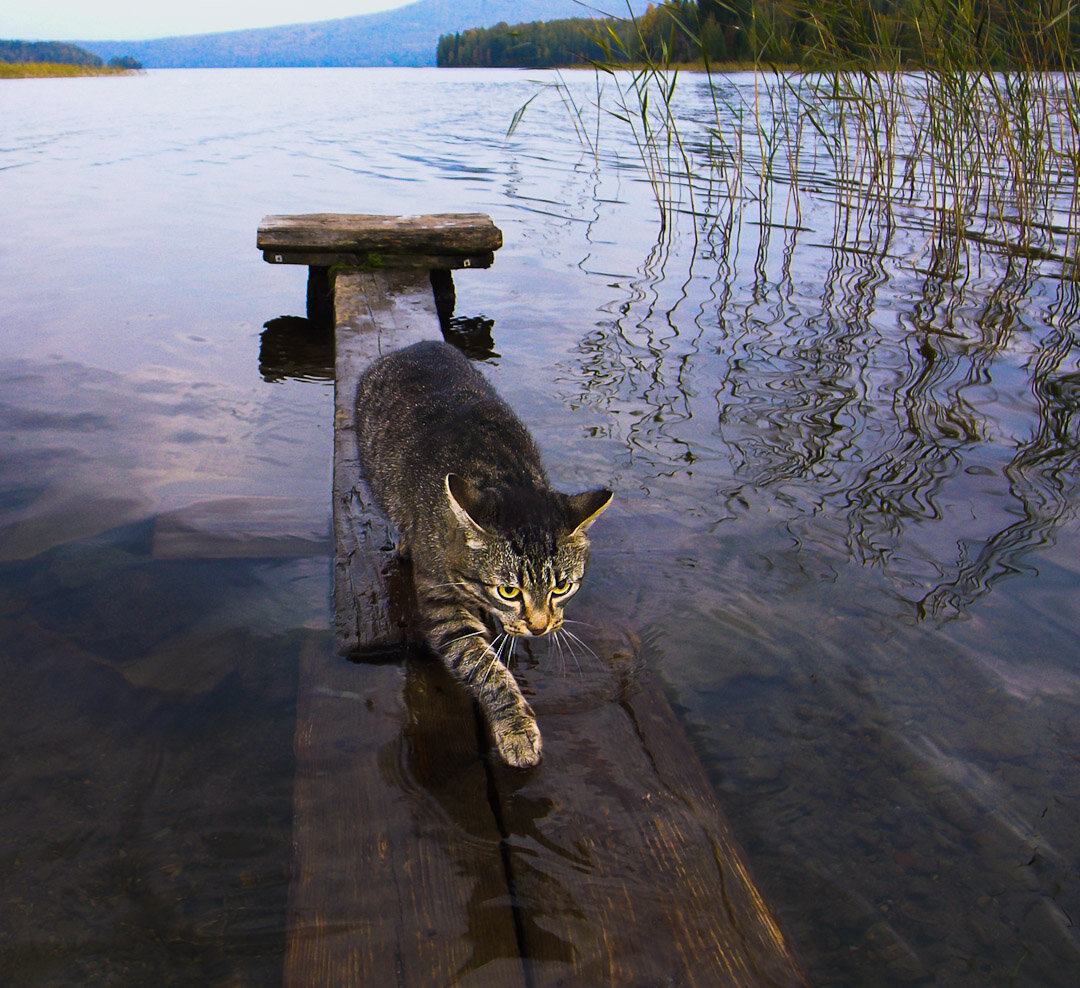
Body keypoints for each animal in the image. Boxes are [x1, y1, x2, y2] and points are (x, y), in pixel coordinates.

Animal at [354, 343, 609, 768]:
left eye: (562, 587)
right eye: (508, 591)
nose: (540, 628)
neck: (499, 473)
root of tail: (411, 347)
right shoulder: (441, 600)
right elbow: (483, 665)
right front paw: (516, 727)